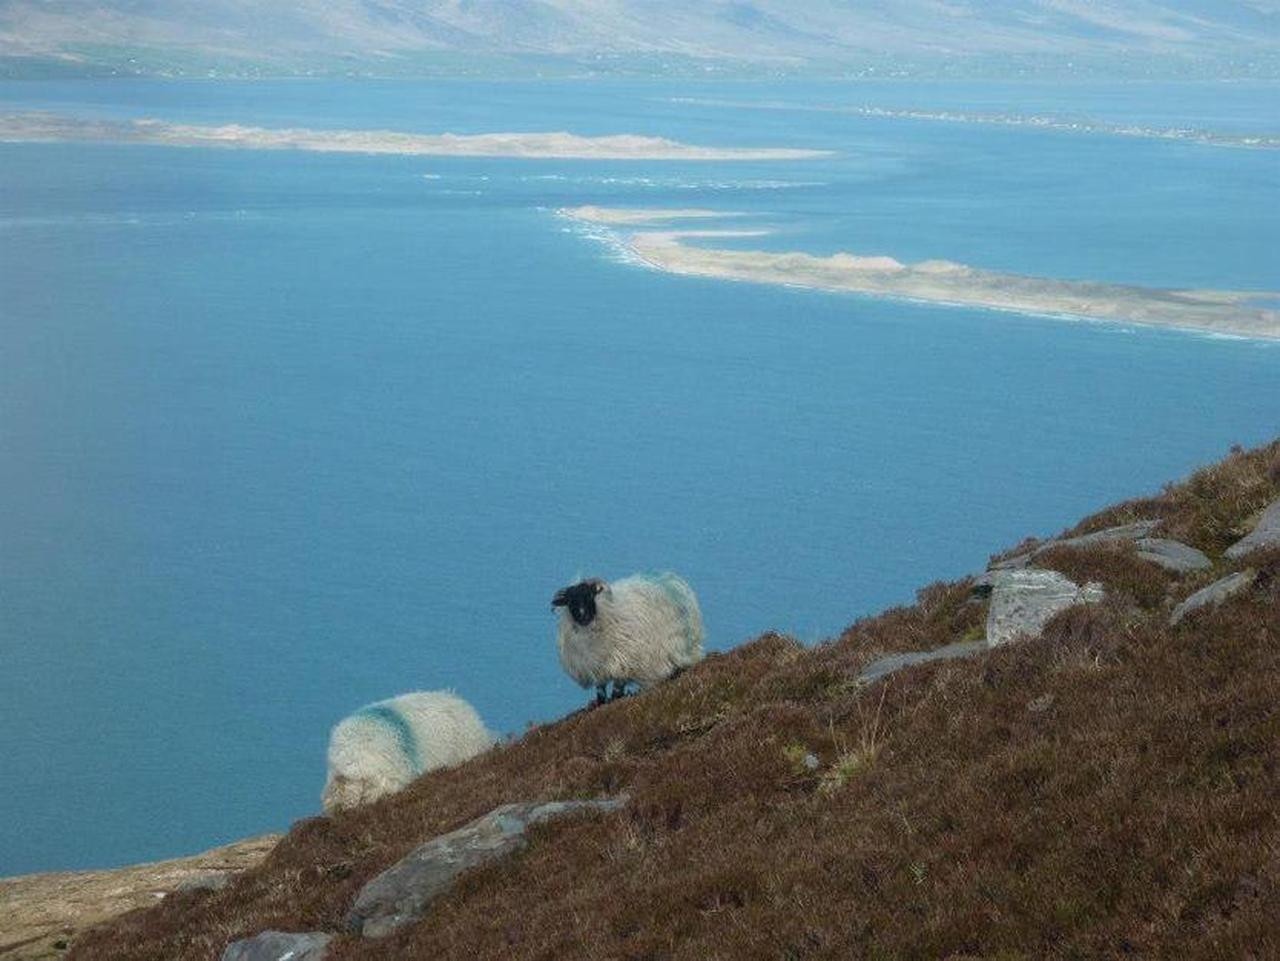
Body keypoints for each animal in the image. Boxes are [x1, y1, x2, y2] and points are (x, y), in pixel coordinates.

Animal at [552, 570, 711, 706]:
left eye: (589, 596)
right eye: (570, 601)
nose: (582, 615)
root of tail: (669, 579)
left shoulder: (624, 661)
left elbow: (617, 687)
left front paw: (616, 700)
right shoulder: (597, 668)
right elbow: (601, 689)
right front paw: (600, 703)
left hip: (680, 645)